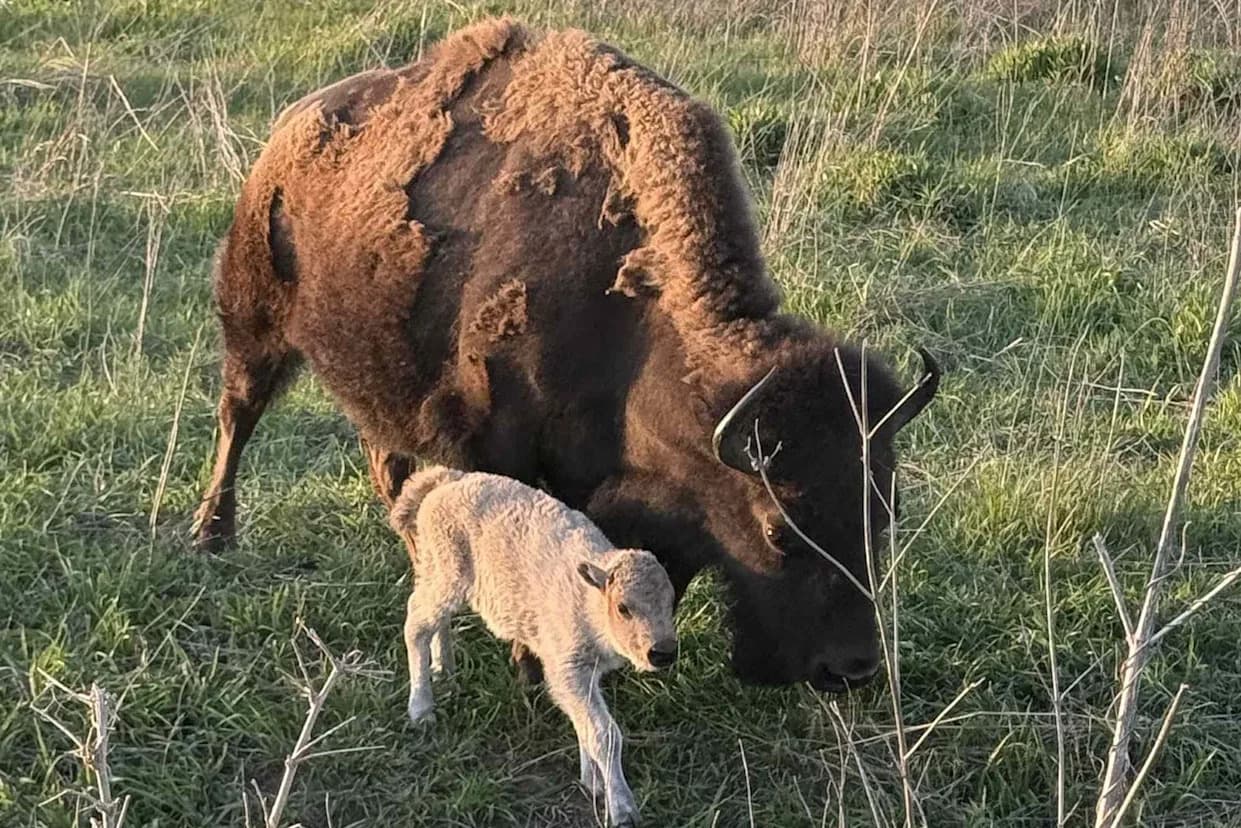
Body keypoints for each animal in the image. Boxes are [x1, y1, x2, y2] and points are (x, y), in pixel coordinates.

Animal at [191, 17, 940, 693]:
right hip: (253, 326)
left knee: (387, 464)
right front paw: (532, 664)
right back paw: (211, 534)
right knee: (238, 415)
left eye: (885, 510)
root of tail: (287, 133)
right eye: (779, 531)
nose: (849, 668)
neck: (631, 329)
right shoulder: (505, 452)